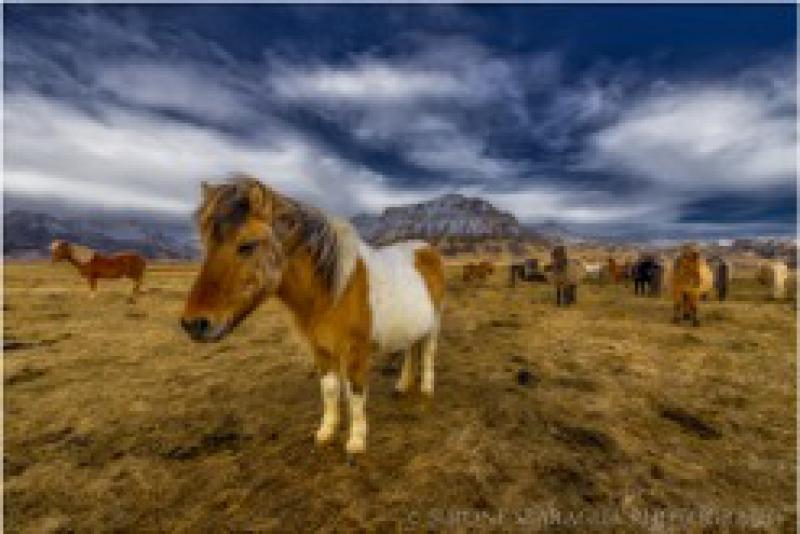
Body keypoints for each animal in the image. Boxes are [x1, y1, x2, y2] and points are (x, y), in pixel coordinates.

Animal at [180, 177, 444, 456]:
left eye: (247, 245)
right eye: (206, 245)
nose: (193, 323)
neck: (334, 291)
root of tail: (427, 249)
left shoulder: (356, 352)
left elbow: (355, 392)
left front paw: (356, 441)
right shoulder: (321, 349)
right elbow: (329, 390)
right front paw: (326, 432)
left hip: (435, 323)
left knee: (428, 352)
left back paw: (426, 390)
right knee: (412, 350)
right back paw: (403, 386)